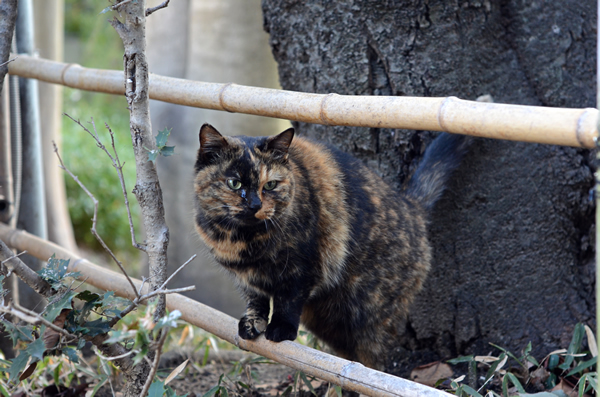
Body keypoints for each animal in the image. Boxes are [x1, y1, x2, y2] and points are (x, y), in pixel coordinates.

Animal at [192, 124, 468, 368]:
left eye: (270, 185)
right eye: (234, 183)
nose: (255, 205)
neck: (244, 243)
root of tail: (412, 208)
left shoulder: (304, 266)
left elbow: (288, 299)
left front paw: (280, 328)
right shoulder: (245, 278)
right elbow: (256, 299)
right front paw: (252, 323)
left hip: (371, 317)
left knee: (373, 363)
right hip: (326, 322)